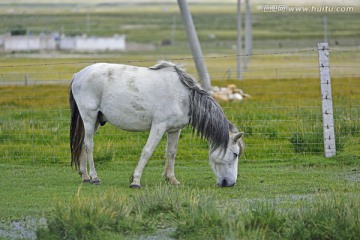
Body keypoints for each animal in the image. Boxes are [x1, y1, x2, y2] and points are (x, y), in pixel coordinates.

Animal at [69, 60, 245, 188]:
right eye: (235, 154)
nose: (230, 183)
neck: (184, 97)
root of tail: (79, 75)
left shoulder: (174, 130)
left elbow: (171, 153)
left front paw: (172, 180)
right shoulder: (158, 127)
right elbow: (147, 151)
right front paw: (135, 181)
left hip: (95, 121)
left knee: (83, 143)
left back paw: (85, 176)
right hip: (89, 116)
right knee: (89, 145)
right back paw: (95, 177)